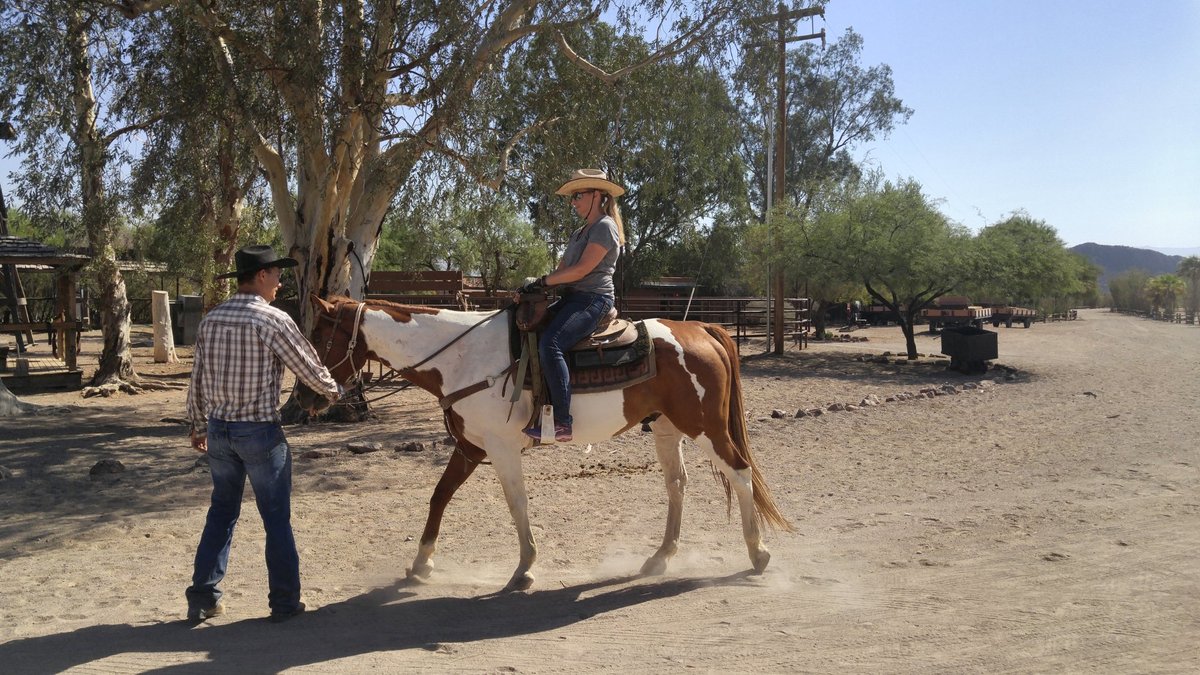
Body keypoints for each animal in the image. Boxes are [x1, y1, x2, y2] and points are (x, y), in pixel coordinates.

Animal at [295, 294, 792, 588]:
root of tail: (701, 329)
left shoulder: (500, 449)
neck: (463, 358)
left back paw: (758, 553)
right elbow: (439, 497)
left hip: (705, 428)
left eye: (319, 335)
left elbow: (517, 504)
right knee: (677, 485)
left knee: (740, 472)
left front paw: (525, 568)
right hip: (668, 428)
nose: (305, 397)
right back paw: (659, 559)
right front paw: (421, 565)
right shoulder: (470, 447)